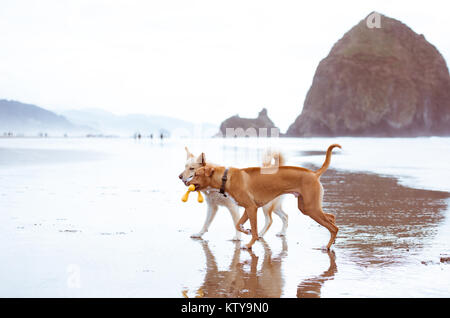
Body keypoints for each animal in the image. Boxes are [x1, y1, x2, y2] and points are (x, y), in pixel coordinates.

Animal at [187, 144, 342, 251]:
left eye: (196, 174)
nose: (186, 182)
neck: (226, 178)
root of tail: (314, 173)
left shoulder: (252, 208)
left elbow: (254, 231)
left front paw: (249, 244)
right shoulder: (247, 209)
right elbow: (238, 224)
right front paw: (245, 230)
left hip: (310, 208)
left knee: (333, 227)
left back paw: (327, 246)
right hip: (306, 207)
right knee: (331, 217)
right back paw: (332, 240)